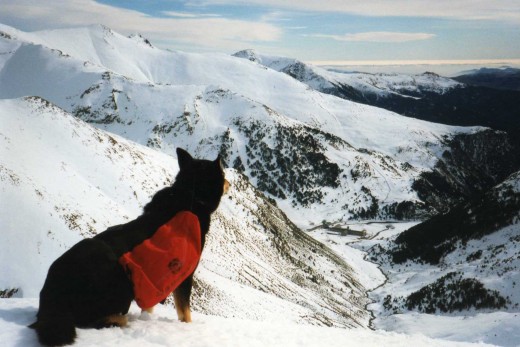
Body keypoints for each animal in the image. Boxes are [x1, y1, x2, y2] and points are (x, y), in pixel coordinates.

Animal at [30, 148, 230, 346]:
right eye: (223, 172)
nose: (230, 183)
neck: (190, 195)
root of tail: (53, 293)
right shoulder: (184, 274)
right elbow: (185, 312)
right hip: (122, 275)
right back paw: (119, 319)